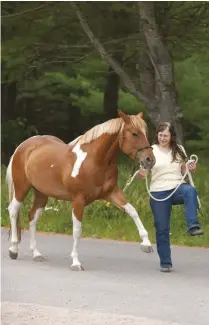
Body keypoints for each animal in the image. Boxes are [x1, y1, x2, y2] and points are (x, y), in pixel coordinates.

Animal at [6, 110, 155, 270]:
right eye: (134, 133)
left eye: (145, 132)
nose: (150, 160)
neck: (94, 161)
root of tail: (23, 145)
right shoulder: (78, 199)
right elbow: (77, 230)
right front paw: (76, 262)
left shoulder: (112, 193)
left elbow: (132, 211)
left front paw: (146, 244)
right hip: (22, 188)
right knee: (13, 210)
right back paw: (13, 249)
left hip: (41, 193)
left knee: (33, 216)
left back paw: (36, 254)